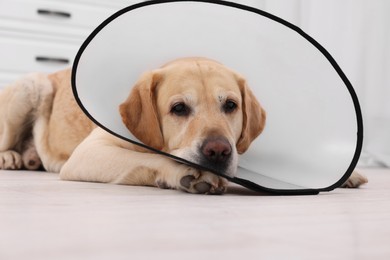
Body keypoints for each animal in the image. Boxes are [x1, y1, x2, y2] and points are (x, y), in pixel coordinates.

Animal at [0, 58, 366, 194]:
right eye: (178, 109)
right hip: (32, 86)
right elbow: (147, 157)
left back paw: (30, 157)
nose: (218, 151)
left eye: (230, 105)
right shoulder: (88, 154)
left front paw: (348, 173)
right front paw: (187, 173)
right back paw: (13, 157)